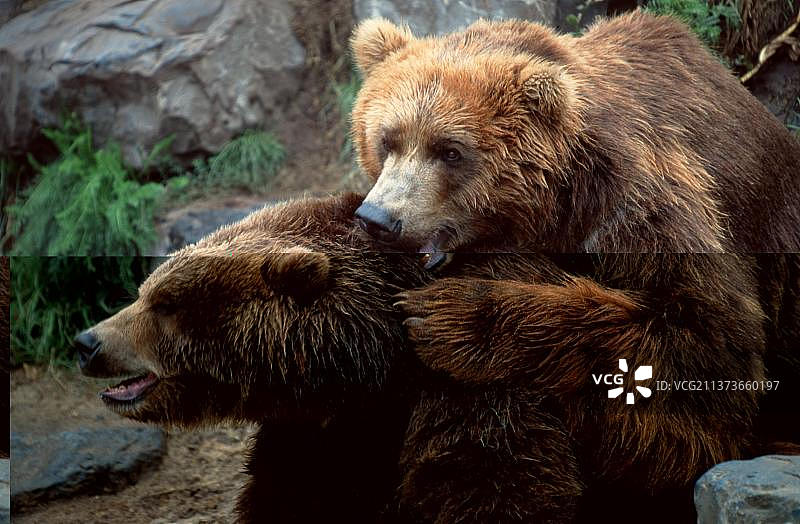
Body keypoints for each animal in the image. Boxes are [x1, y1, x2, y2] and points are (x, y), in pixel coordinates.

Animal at [75, 194, 799, 523]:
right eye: (145, 291)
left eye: (166, 303)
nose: (88, 341)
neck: (374, 366)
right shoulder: (326, 432)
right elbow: (298, 495)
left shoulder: (472, 391)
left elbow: (489, 485)